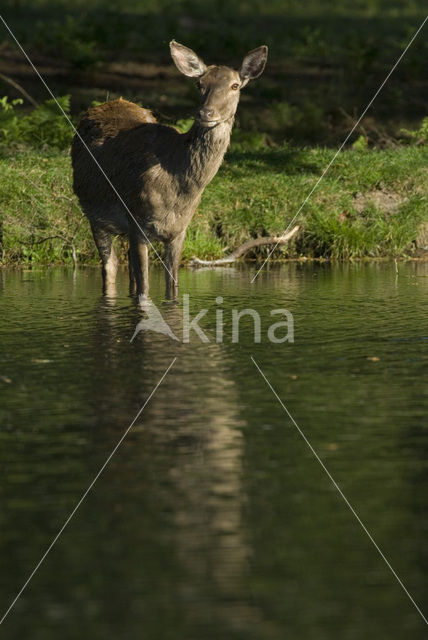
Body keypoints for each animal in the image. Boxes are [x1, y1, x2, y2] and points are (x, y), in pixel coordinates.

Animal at [72, 42, 268, 298]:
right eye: (199, 84)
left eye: (234, 85)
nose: (206, 113)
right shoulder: (136, 221)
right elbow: (144, 290)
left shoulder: (179, 230)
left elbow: (172, 285)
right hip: (94, 213)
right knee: (110, 265)